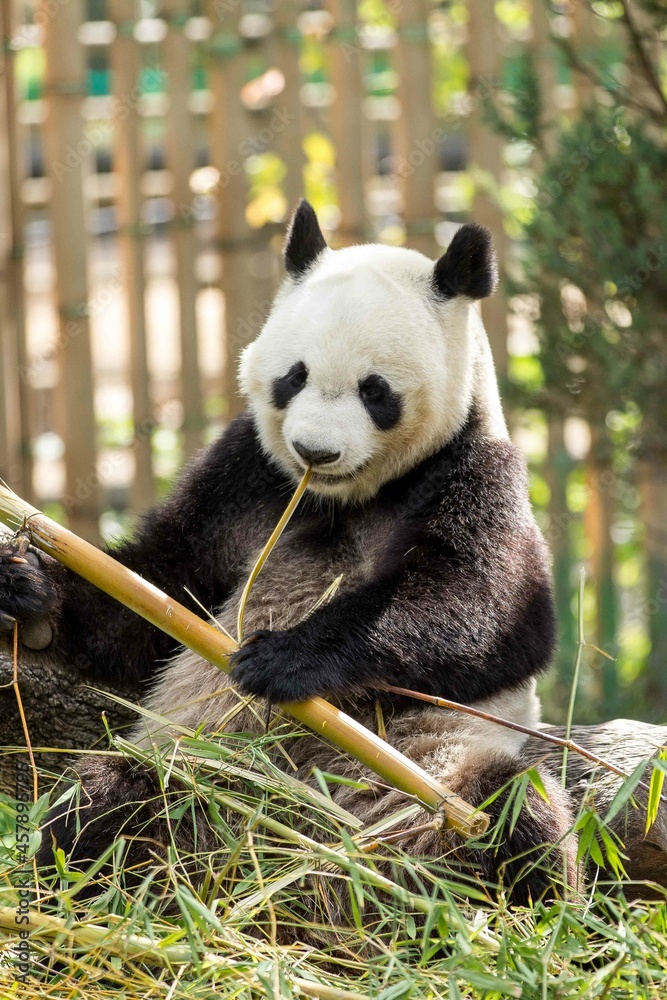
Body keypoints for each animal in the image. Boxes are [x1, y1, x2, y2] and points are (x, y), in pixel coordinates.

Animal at [0, 201, 576, 908]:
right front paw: (29, 588)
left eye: (375, 390)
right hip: (198, 765)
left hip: (432, 776)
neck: (343, 499)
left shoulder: (472, 469)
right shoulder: (246, 476)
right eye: (292, 377)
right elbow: (160, 591)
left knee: (516, 814)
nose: (314, 452)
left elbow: (491, 612)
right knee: (102, 804)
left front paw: (284, 658)